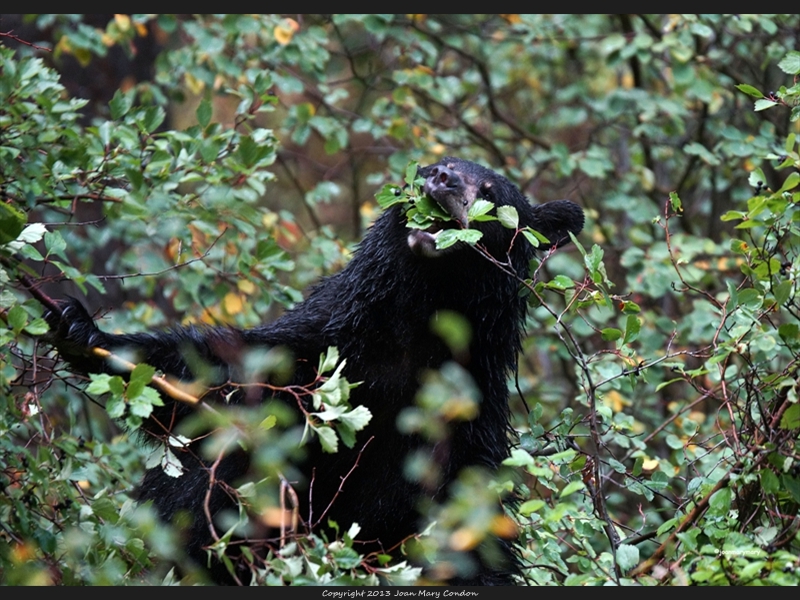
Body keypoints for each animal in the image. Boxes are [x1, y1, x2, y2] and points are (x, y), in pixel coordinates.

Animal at [45, 157, 580, 584]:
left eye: (490, 190)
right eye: (436, 164)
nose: (443, 179)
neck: (418, 330)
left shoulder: (462, 433)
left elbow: (469, 539)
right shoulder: (320, 351)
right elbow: (217, 376)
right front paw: (84, 330)